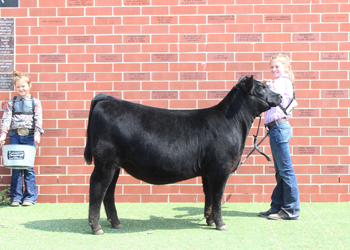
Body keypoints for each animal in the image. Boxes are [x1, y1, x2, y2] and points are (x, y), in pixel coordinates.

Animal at [84, 75, 282, 234]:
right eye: (261, 87)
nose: (280, 96)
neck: (232, 123)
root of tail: (107, 99)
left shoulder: (208, 172)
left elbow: (209, 197)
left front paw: (210, 221)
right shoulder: (220, 169)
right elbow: (217, 197)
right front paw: (221, 224)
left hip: (116, 164)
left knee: (109, 191)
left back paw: (116, 223)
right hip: (105, 161)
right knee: (97, 187)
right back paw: (96, 227)